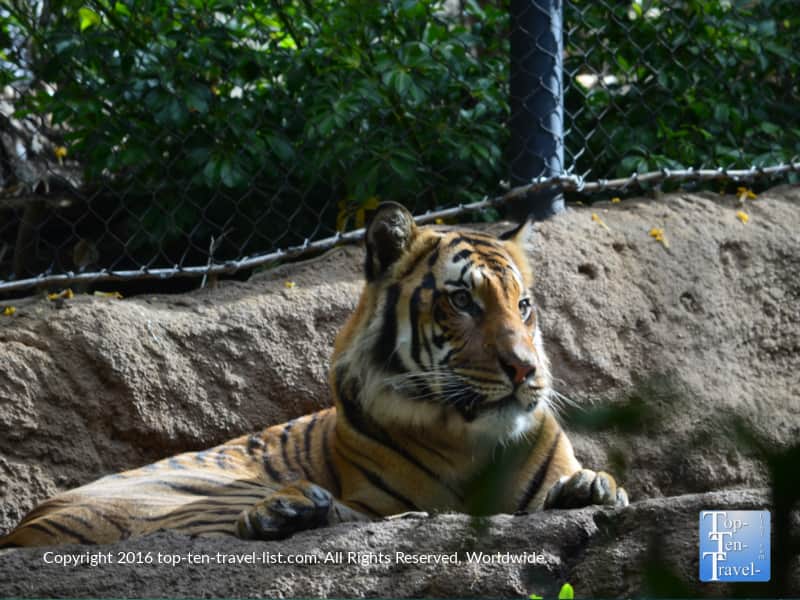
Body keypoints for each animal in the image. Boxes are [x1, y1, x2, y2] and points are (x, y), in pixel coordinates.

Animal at [0, 201, 628, 548]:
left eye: (523, 306)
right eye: (462, 301)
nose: (525, 369)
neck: (469, 437)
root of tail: (21, 529)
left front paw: (591, 487)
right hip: (201, 494)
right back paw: (287, 510)